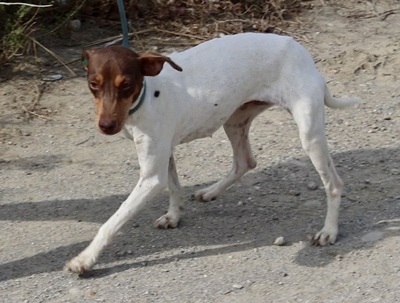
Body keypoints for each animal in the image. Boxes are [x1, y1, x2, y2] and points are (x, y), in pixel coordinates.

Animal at [65, 33, 360, 276]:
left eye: (126, 84)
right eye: (93, 84)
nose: (106, 126)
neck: (147, 96)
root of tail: (300, 50)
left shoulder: (150, 178)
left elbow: (111, 222)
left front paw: (85, 259)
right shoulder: (164, 154)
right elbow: (175, 187)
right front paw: (174, 216)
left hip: (309, 136)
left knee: (334, 184)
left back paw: (328, 231)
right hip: (235, 120)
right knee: (245, 162)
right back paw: (210, 191)